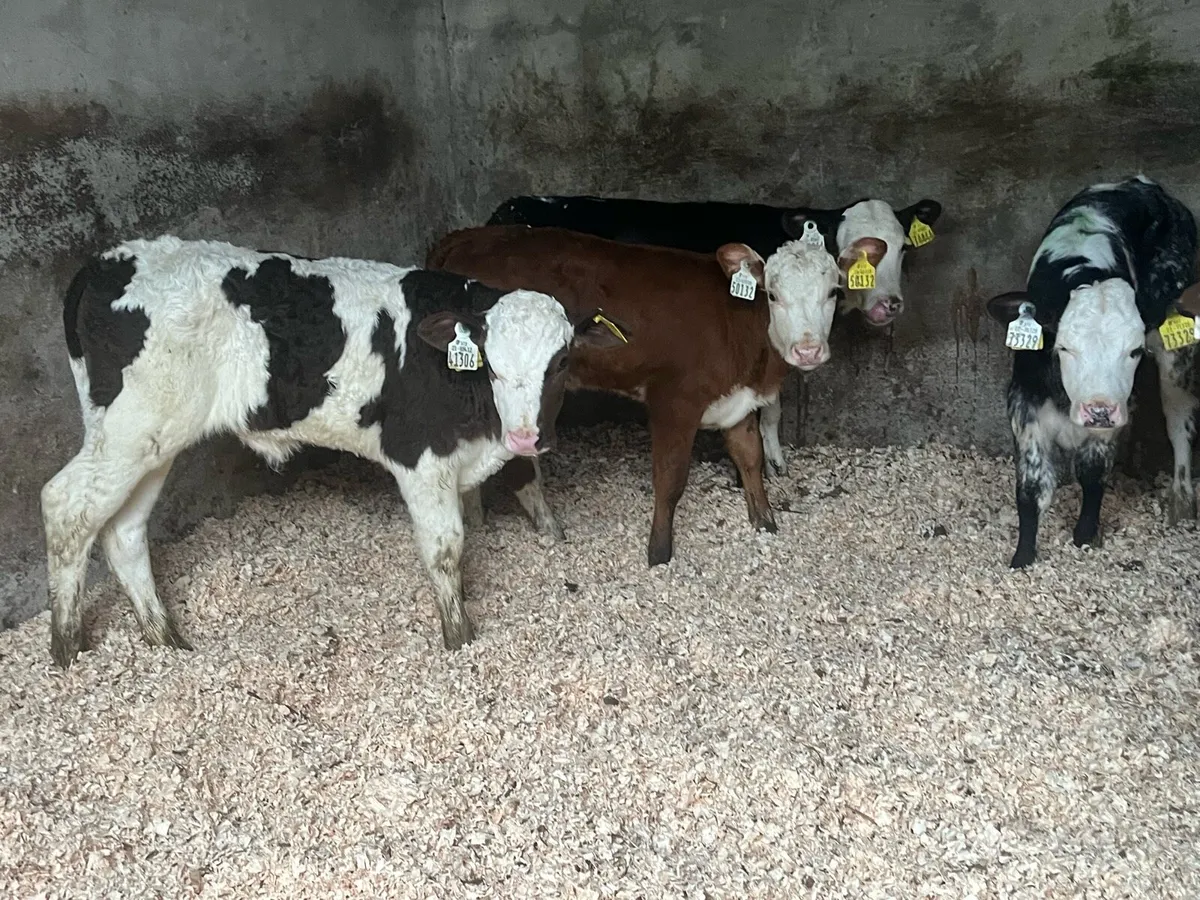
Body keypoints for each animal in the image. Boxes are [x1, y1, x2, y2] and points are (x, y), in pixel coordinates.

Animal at [40, 234, 628, 668]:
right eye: (493, 364)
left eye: (561, 362)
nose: (526, 436)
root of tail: (107, 260)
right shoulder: (419, 457)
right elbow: (445, 548)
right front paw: (459, 639)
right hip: (131, 430)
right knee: (66, 506)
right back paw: (68, 648)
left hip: (149, 441)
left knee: (122, 530)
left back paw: (166, 641)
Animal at [427, 224, 884, 566]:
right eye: (773, 294)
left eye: (834, 292)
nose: (808, 350)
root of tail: (468, 235)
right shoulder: (674, 401)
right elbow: (670, 479)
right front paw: (659, 552)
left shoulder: (736, 399)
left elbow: (750, 459)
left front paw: (765, 522)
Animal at [487, 193, 943, 475]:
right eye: (846, 245)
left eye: (902, 247)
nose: (888, 304)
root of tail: (509, 207)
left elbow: (772, 408)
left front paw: (776, 460)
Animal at [985, 175, 1200, 569]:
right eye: (1064, 348)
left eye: (1134, 351)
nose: (1098, 410)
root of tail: (1142, 182)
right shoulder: (1024, 406)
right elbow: (1031, 489)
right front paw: (1022, 557)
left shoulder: (1116, 413)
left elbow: (1092, 473)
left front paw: (1085, 537)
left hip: (1175, 359)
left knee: (1180, 421)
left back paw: (1181, 499)